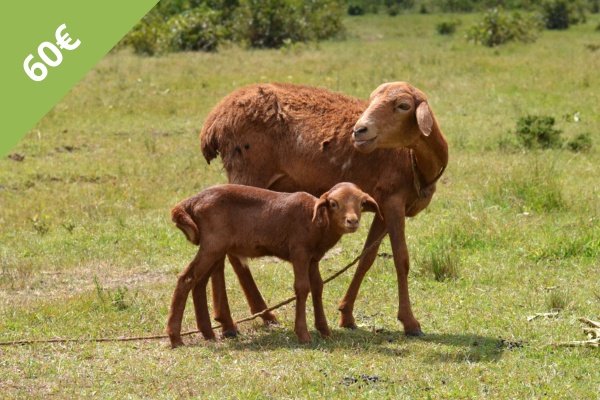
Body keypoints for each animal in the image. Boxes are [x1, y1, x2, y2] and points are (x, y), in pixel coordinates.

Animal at [168, 182, 380, 346]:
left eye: (362, 203)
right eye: (334, 203)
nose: (352, 221)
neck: (316, 223)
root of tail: (190, 202)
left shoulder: (313, 259)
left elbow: (318, 287)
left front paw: (325, 331)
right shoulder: (299, 252)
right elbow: (302, 288)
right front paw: (303, 335)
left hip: (216, 248)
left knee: (199, 283)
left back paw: (208, 334)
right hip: (213, 245)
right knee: (186, 279)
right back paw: (175, 338)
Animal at [199, 80, 448, 334]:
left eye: (403, 105)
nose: (359, 131)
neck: (415, 160)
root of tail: (214, 123)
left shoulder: (382, 206)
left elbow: (367, 258)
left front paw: (346, 314)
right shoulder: (393, 199)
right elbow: (401, 259)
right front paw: (410, 322)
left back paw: (228, 321)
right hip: (248, 174)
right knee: (230, 252)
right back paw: (257, 316)